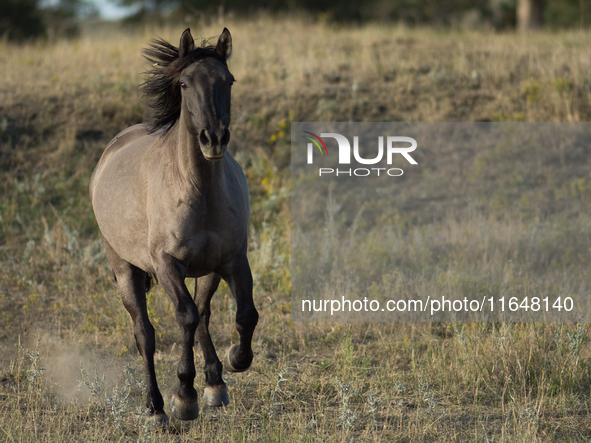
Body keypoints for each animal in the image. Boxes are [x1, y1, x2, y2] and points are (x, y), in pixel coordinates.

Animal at [87, 28, 256, 426]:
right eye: (183, 83)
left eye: (229, 80)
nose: (214, 139)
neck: (199, 190)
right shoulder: (167, 265)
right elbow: (185, 317)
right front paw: (184, 396)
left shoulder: (232, 259)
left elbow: (244, 314)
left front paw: (234, 361)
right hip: (125, 269)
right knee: (145, 334)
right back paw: (156, 408)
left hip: (207, 270)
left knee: (205, 312)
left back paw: (215, 385)